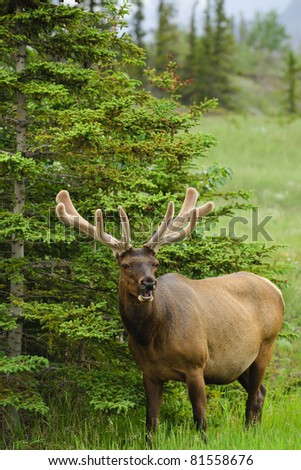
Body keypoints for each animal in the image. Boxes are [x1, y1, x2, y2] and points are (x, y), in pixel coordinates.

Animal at [56, 186, 284, 440]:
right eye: (125, 265)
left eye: (155, 263)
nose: (148, 284)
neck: (153, 338)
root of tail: (276, 289)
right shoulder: (149, 372)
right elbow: (151, 425)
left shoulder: (196, 365)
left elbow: (201, 422)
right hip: (240, 363)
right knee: (261, 392)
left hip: (266, 346)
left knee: (254, 397)